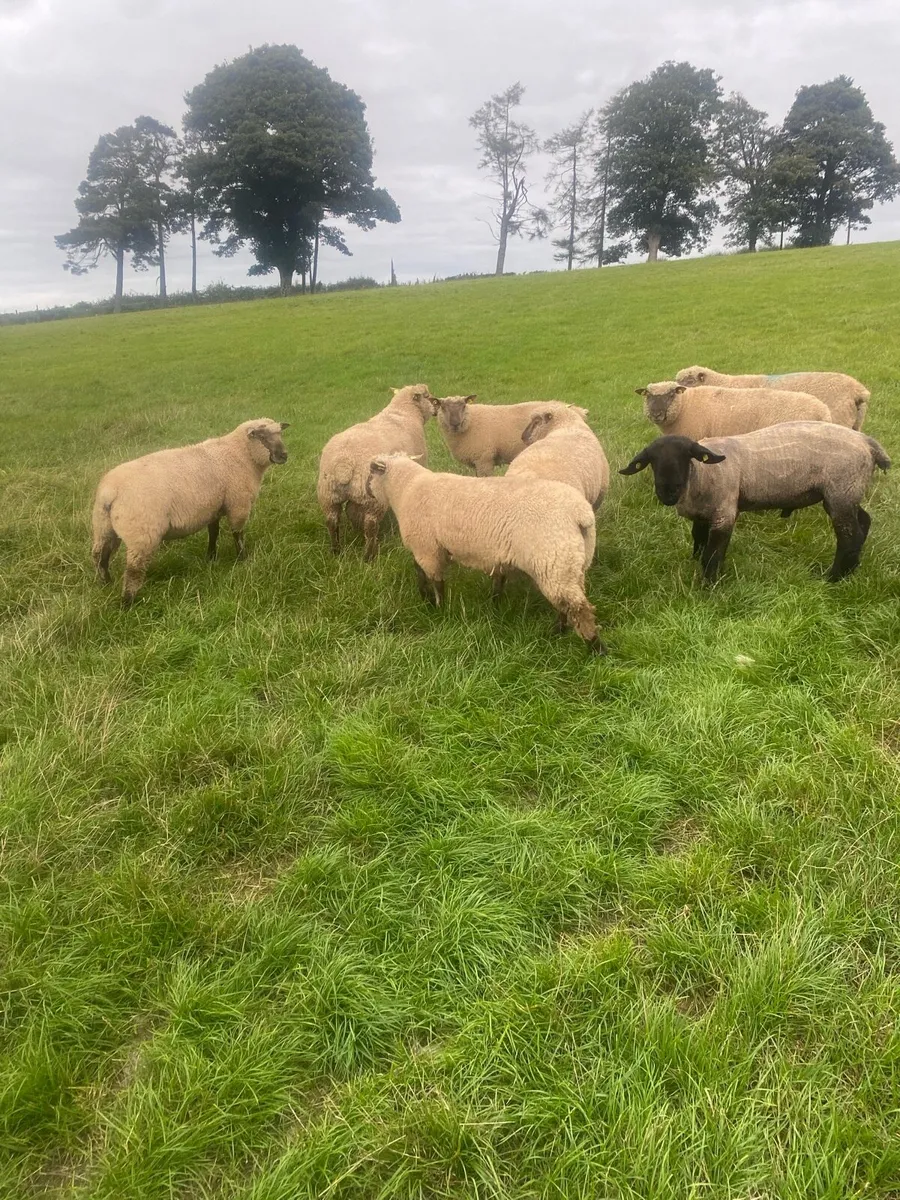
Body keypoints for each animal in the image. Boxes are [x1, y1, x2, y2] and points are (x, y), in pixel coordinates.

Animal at [91, 418, 289, 606]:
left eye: (280, 433)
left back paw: (106, 584)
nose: (284, 456)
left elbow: (213, 533)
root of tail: (109, 492)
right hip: (141, 534)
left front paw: (211, 557)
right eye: (262, 436)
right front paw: (242, 559)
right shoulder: (238, 505)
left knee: (100, 556)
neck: (240, 454)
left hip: (103, 528)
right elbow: (237, 535)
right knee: (133, 570)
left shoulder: (213, 508)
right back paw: (128, 603)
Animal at [317, 384, 435, 559]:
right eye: (427, 396)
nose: (436, 406)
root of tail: (344, 464)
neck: (403, 412)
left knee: (333, 521)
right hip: (373, 499)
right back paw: (368, 555)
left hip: (329, 496)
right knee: (370, 525)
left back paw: (337, 550)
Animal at [365, 452, 605, 652]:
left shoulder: (428, 550)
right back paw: (559, 631)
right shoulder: (429, 550)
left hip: (553, 559)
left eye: (371, 472)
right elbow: (419, 572)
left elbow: (436, 582)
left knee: (578, 608)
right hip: (571, 562)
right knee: (568, 604)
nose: (366, 491)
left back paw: (595, 648)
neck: (406, 489)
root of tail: (580, 514)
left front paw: (438, 609)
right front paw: (425, 598)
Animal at [619, 422, 890, 583]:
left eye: (686, 456)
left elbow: (712, 554)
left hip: (841, 490)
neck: (700, 476)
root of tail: (868, 443)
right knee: (864, 522)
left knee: (850, 536)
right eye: (652, 461)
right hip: (848, 492)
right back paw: (851, 570)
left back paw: (832, 578)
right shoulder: (704, 513)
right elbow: (699, 540)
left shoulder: (724, 512)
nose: (668, 492)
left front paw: (708, 585)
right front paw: (695, 565)